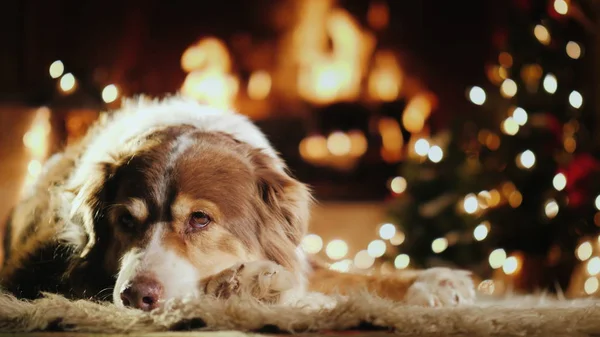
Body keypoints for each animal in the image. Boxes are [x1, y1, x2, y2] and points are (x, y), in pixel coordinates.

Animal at [2, 96, 476, 310]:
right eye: (125, 221)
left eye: (199, 219)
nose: (136, 297)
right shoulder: (39, 273)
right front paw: (252, 282)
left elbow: (351, 274)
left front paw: (434, 282)